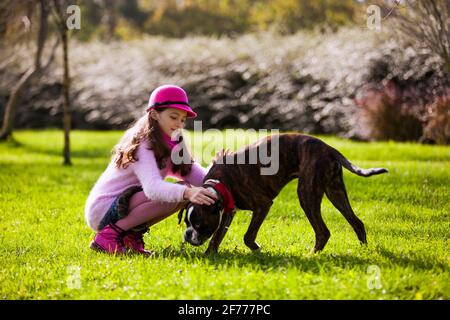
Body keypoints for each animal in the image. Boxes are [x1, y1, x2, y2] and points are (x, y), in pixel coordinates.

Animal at [178, 132, 388, 252]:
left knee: (323, 232)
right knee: (356, 222)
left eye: (199, 224)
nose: (188, 234)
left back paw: (311, 255)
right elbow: (217, 237)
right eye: (186, 223)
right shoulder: (228, 213)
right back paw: (364, 250)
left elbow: (248, 235)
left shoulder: (262, 206)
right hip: (335, 191)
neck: (218, 183)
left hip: (307, 194)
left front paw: (256, 249)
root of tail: (328, 147)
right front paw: (210, 255)